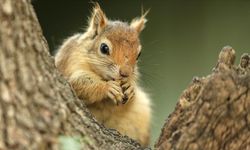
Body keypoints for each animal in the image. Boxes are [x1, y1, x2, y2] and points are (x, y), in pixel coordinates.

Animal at [55, 3, 151, 146]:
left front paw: (130, 87)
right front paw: (108, 88)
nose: (125, 73)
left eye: (139, 54)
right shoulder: (71, 64)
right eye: (104, 48)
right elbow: (78, 82)